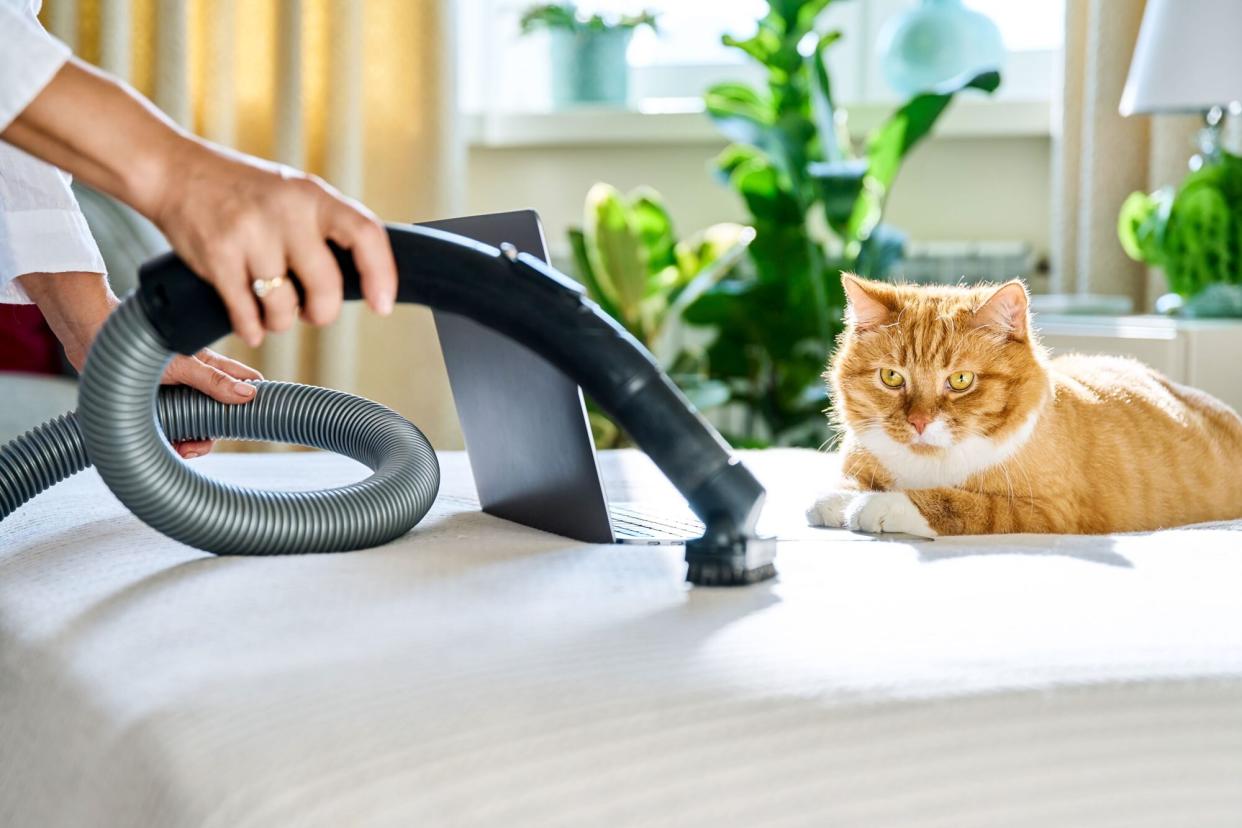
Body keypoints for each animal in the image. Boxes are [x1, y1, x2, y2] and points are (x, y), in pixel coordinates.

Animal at [804, 275, 1242, 538]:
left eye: (960, 380)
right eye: (892, 377)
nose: (919, 422)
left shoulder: (1049, 511)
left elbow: (962, 504)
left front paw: (879, 504)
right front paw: (839, 497)